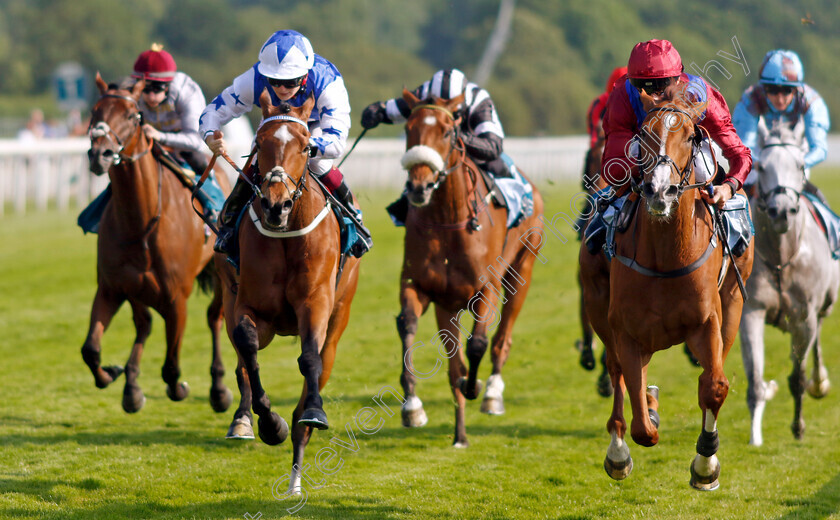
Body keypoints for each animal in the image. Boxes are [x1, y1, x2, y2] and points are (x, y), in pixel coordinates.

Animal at [82, 74, 233, 414]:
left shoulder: (176, 299)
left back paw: (219, 389)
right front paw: (113, 373)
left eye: (131, 116)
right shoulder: (111, 288)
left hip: (221, 272)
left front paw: (181, 388)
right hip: (136, 290)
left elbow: (171, 367)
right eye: (94, 112)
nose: (100, 154)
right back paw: (131, 386)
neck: (140, 221)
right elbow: (91, 349)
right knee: (144, 325)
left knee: (214, 317)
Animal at [215, 90, 360, 496]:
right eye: (259, 143)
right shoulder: (251, 308)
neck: (285, 235)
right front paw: (269, 424)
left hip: (340, 317)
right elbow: (248, 348)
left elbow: (310, 360)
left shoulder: (316, 304)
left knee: (321, 363)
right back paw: (246, 423)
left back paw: (296, 474)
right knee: (240, 358)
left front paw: (312, 413)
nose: (276, 205)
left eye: (306, 146)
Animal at [396, 88, 544, 446]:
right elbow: (408, 326)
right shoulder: (421, 287)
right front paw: (412, 407)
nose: (419, 187)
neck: (449, 220)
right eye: (408, 129)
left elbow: (477, 344)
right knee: (454, 365)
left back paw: (491, 394)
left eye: (448, 132)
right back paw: (460, 433)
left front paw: (476, 387)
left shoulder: (485, 288)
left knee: (502, 340)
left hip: (522, 270)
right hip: (448, 306)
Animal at [576, 87, 756, 490]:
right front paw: (625, 446)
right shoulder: (626, 330)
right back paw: (623, 441)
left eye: (691, 136)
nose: (660, 190)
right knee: (617, 373)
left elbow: (714, 386)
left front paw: (706, 464)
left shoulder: (708, 322)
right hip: (598, 304)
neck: (666, 258)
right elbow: (642, 426)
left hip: (733, 301)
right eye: (643, 134)